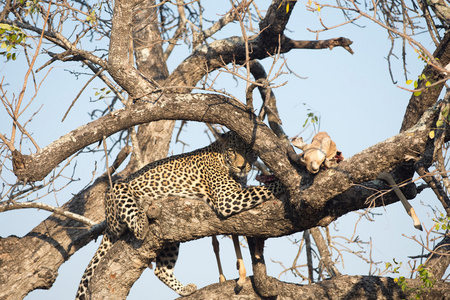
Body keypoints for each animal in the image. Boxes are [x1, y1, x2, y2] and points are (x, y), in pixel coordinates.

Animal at [75, 132, 284, 300]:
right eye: (233, 151)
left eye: (249, 150)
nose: (242, 167)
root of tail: (108, 219)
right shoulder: (227, 199)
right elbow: (262, 189)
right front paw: (285, 184)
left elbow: (235, 233)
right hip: (117, 191)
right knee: (135, 223)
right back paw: (142, 216)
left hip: (170, 237)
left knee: (161, 270)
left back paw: (185, 289)